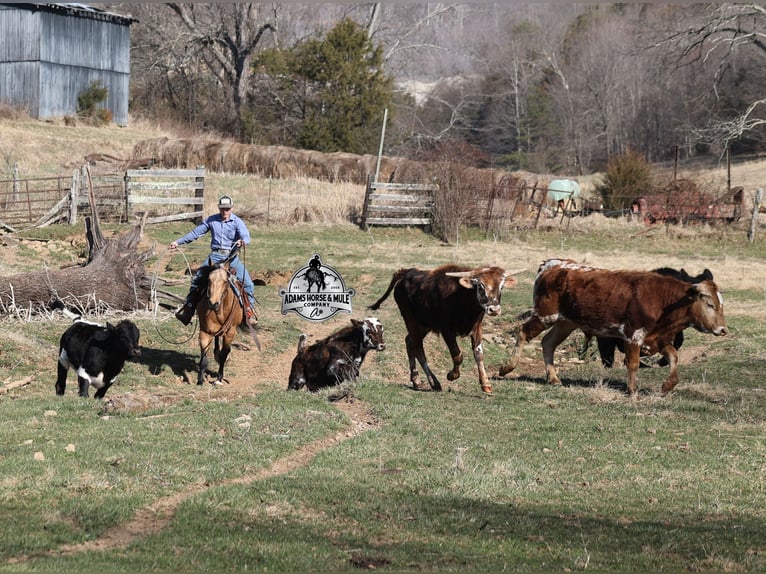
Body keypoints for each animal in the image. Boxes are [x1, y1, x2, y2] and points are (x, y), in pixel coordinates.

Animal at [196, 257, 243, 386]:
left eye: (225, 281)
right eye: (209, 279)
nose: (213, 303)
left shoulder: (230, 332)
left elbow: (224, 354)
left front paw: (219, 378)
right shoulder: (205, 331)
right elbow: (204, 356)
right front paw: (200, 380)